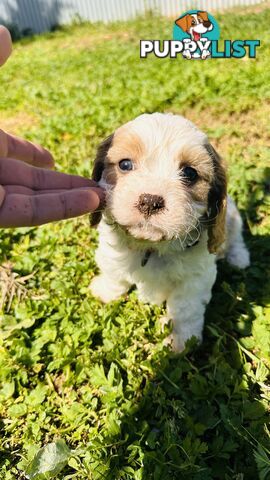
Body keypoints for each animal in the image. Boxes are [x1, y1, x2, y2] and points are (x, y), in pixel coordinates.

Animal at [89, 114, 250, 350]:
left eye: (190, 173)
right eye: (125, 164)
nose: (150, 201)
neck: (151, 246)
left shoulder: (195, 278)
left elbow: (185, 310)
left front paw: (181, 341)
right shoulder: (112, 252)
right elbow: (113, 273)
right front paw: (105, 291)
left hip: (232, 216)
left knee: (235, 236)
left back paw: (239, 258)